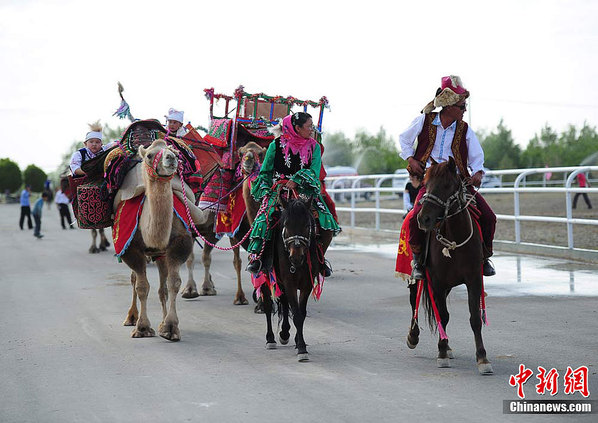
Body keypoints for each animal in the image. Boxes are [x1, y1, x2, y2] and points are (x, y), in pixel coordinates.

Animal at [119, 141, 209, 342]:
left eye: (174, 150)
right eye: (150, 155)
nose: (171, 158)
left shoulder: (179, 244)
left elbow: (173, 283)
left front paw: (169, 327)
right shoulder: (131, 249)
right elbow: (142, 286)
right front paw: (142, 328)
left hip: (160, 255)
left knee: (162, 288)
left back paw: (160, 321)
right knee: (134, 280)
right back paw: (131, 317)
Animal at [262, 194, 324, 362]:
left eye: (308, 225)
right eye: (286, 224)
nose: (296, 257)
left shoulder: (306, 284)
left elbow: (301, 313)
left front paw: (298, 342)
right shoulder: (289, 282)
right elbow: (296, 314)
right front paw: (301, 348)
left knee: (284, 302)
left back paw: (284, 333)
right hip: (265, 277)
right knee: (268, 305)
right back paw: (271, 339)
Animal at [408, 157, 496, 376]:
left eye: (447, 185)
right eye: (426, 183)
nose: (424, 219)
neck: (454, 240)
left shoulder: (473, 280)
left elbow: (474, 318)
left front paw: (482, 358)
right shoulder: (437, 283)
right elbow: (443, 315)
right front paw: (441, 354)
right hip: (416, 279)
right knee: (414, 302)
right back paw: (413, 336)